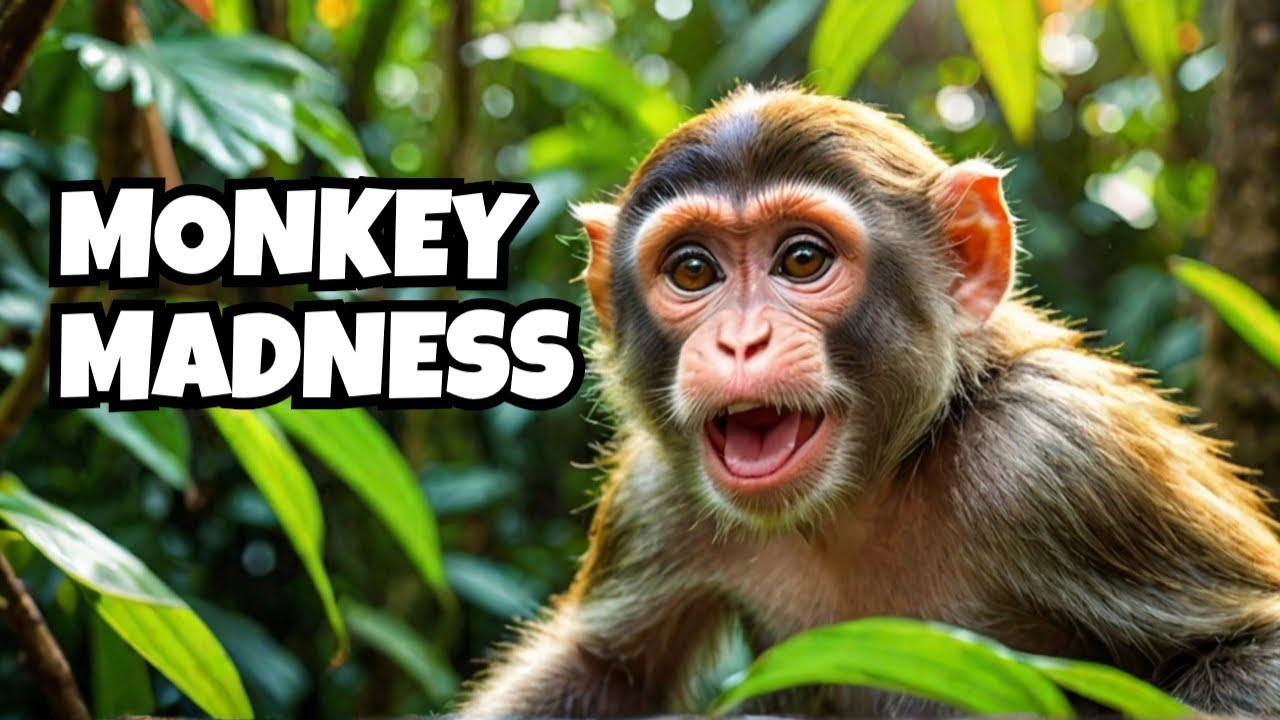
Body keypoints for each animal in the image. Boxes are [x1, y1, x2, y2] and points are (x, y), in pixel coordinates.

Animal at [458, 85, 1280, 716]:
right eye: (692, 271)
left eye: (802, 259)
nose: (741, 342)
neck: (865, 494)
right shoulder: (656, 492)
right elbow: (599, 670)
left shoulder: (1059, 453)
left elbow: (1250, 646)